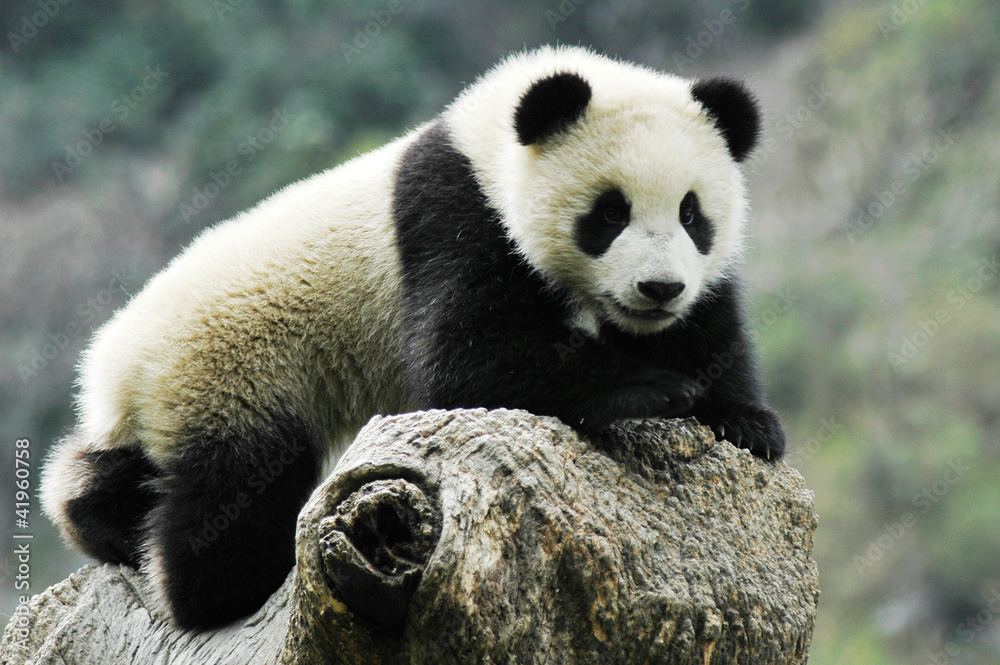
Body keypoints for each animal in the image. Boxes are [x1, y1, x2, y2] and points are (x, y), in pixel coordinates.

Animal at [41, 45, 784, 630]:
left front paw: (746, 420)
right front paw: (653, 389)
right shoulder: (453, 217)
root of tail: (113, 366)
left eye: (693, 215)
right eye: (608, 213)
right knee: (234, 489)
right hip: (232, 369)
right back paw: (216, 589)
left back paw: (96, 517)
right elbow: (465, 364)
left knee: (121, 470)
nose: (659, 289)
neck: (485, 137)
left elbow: (710, 333)